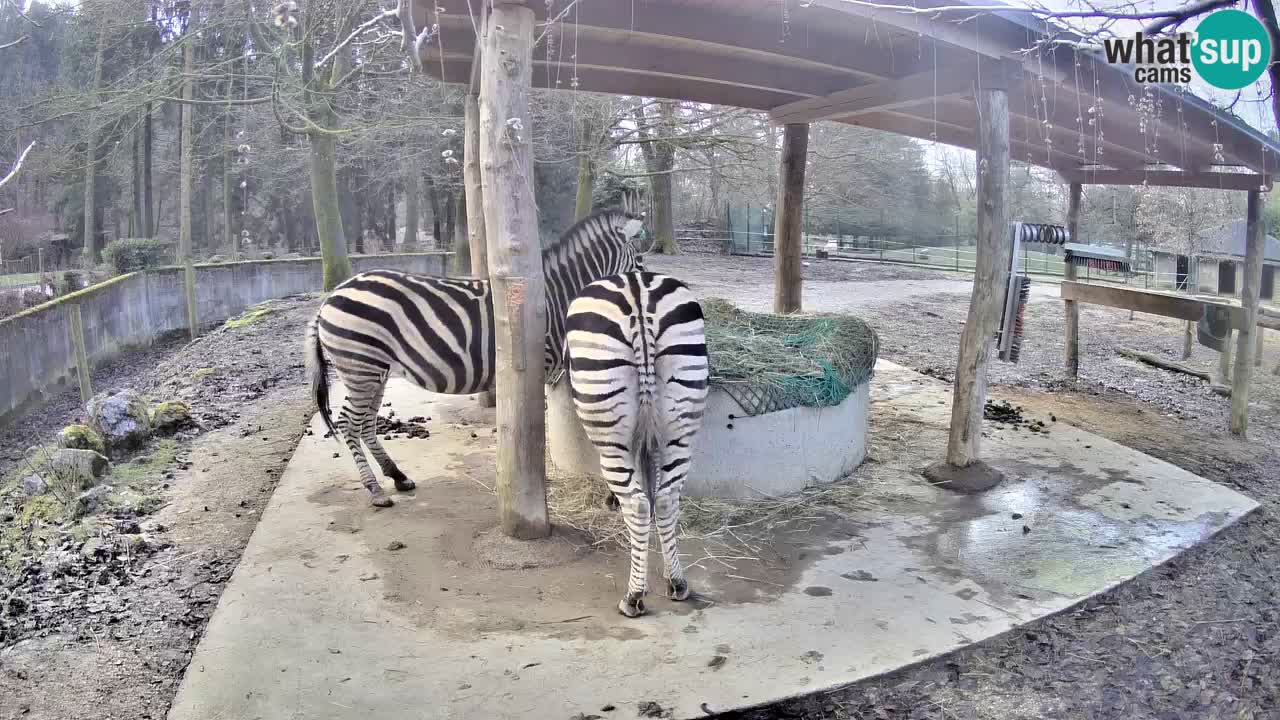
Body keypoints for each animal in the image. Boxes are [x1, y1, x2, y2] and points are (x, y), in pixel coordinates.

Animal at [307, 190, 650, 504]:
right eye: (640, 262)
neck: (555, 295)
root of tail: (330, 297)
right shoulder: (538, 366)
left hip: (374, 369)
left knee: (366, 423)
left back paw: (397, 476)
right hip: (361, 366)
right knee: (348, 423)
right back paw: (375, 490)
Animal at [568, 269, 711, 617]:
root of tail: (637, 292)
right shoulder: (651, 434)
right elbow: (652, 483)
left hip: (608, 426)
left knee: (637, 502)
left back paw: (633, 596)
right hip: (680, 421)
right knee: (666, 499)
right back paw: (677, 582)